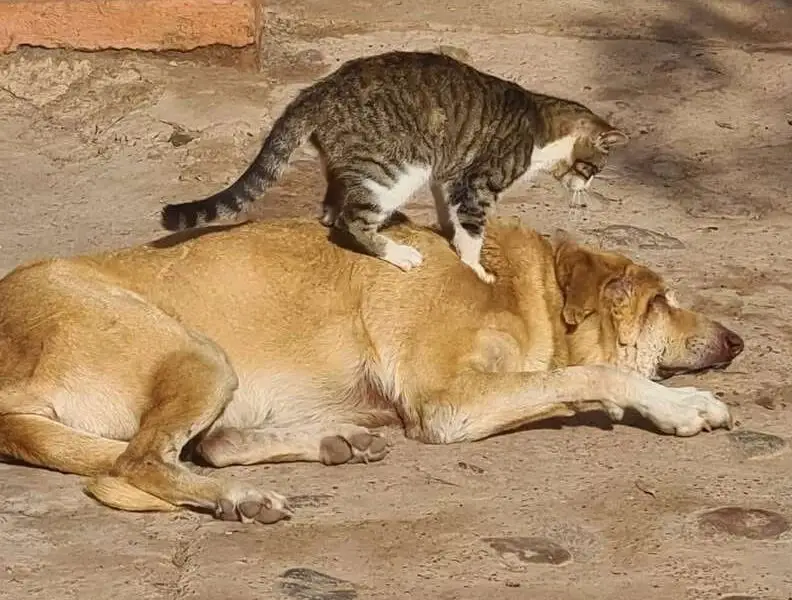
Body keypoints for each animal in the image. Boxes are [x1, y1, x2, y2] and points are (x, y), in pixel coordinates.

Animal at [0, 218, 744, 524]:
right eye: (660, 301)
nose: (738, 341)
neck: (515, 287)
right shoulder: (448, 407)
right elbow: (597, 376)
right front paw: (677, 405)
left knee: (208, 446)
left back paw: (332, 440)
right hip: (198, 353)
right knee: (137, 465)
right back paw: (238, 499)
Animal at [161, 50, 624, 282]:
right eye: (593, 170)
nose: (585, 191)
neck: (541, 124)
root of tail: (318, 90)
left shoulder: (448, 175)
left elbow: (451, 216)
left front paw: (447, 233)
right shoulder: (477, 183)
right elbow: (472, 232)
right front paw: (475, 267)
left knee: (332, 208)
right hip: (395, 170)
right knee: (353, 219)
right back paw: (398, 254)